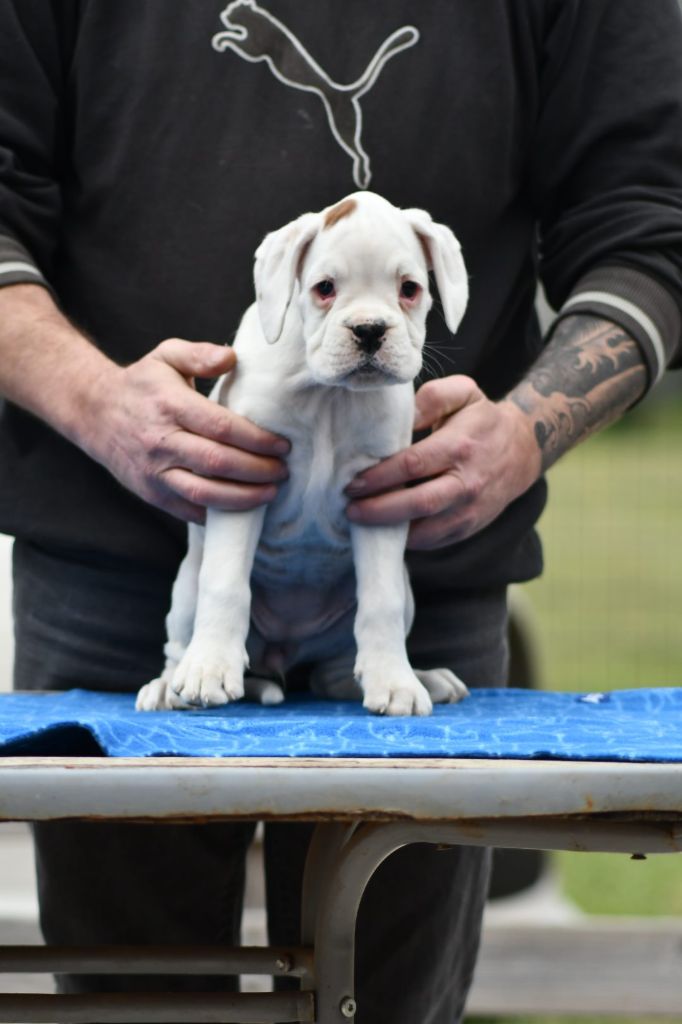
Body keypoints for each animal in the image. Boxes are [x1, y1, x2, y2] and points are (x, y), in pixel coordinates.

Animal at [136, 192, 470, 716]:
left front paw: (395, 682)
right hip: (185, 590)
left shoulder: (378, 498)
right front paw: (209, 670)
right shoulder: (244, 480)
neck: (328, 394)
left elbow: (381, 602)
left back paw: (421, 678)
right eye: (325, 288)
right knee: (181, 639)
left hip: (391, 602)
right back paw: (169, 688)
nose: (370, 330)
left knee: (336, 672)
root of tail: (285, 650)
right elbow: (225, 584)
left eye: (410, 289)